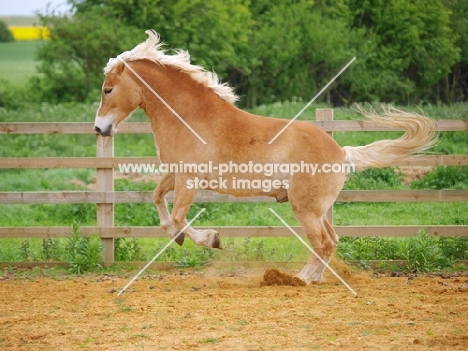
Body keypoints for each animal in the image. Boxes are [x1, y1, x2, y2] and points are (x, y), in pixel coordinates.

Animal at [95, 31, 438, 286]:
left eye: (108, 89)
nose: (100, 128)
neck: (191, 118)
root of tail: (341, 152)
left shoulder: (189, 180)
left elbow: (180, 217)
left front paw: (212, 239)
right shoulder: (176, 175)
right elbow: (157, 200)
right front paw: (177, 237)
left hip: (305, 208)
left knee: (323, 243)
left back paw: (299, 279)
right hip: (319, 209)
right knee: (332, 240)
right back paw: (313, 278)